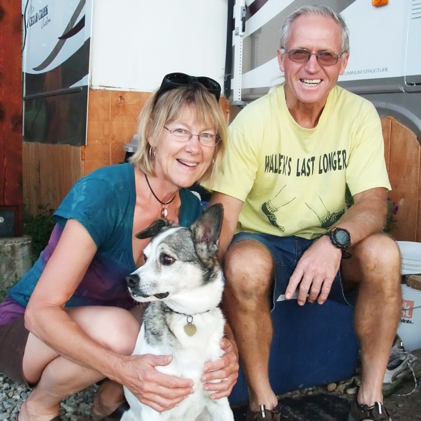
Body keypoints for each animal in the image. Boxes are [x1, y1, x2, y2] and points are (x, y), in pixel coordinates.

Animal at [120, 202, 233, 418]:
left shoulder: (219, 401)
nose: (129, 280)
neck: (189, 315)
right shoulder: (154, 405)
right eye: (145, 257)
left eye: (167, 259)